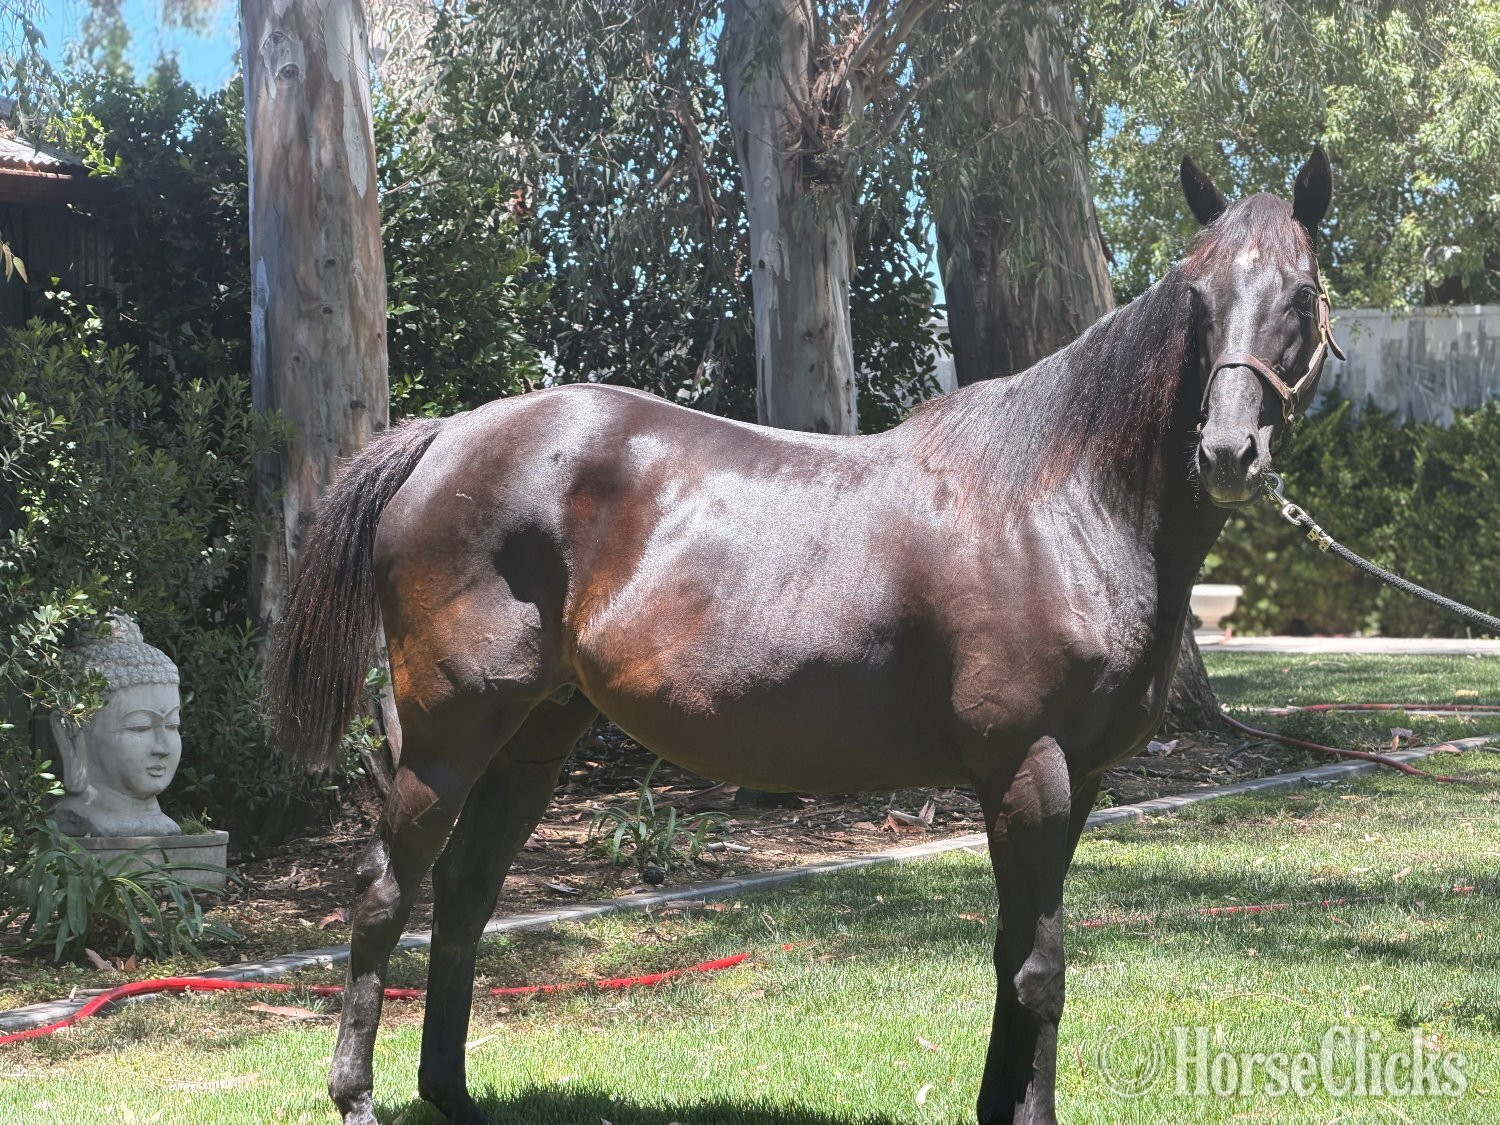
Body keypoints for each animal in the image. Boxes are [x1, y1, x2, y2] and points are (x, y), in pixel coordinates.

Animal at [264, 146, 1342, 1125]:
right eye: (1197, 298)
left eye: (1301, 294)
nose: (1229, 452)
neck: (1060, 502)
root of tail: (443, 437)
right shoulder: (1028, 769)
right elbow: (1040, 969)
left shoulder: (1074, 783)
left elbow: (1013, 954)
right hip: (448, 738)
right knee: (383, 891)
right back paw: (355, 1096)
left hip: (535, 737)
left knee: (466, 893)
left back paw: (451, 1093)